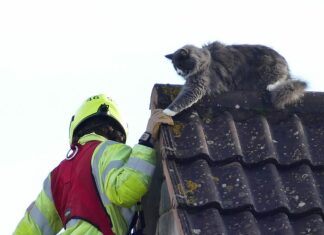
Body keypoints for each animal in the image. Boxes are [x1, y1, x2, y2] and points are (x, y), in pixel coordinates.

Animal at [163, 41, 308, 117]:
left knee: (281, 80)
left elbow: (184, 98)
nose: (179, 72)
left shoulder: (198, 83)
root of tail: (285, 64)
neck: (204, 59)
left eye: (180, 65)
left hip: (268, 68)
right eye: (175, 67)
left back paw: (271, 86)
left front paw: (166, 112)